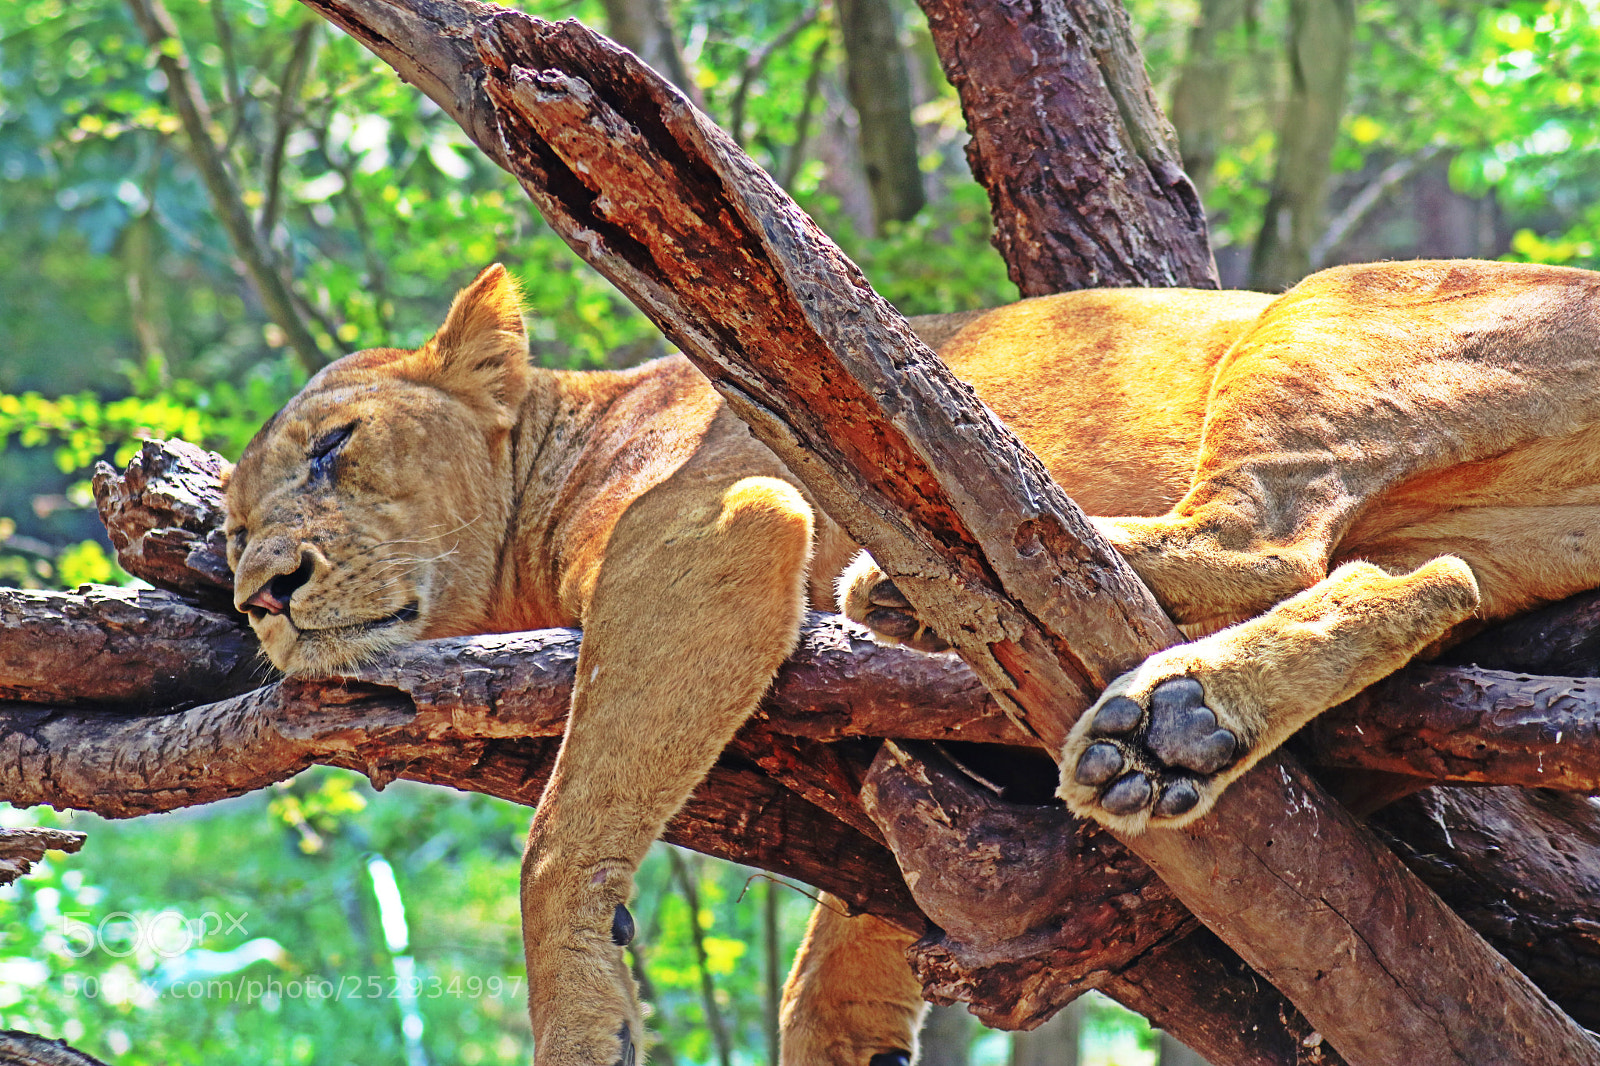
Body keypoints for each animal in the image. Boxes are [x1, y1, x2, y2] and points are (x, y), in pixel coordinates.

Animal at [225, 258, 1600, 1065]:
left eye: (334, 448)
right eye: (230, 528)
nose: (260, 593)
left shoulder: (725, 523)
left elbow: (565, 827)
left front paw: (577, 1016)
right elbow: (855, 937)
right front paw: (852, 1038)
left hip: (1327, 314)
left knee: (1257, 539)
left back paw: (942, 580)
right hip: (1467, 532)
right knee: (1418, 579)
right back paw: (1172, 722)